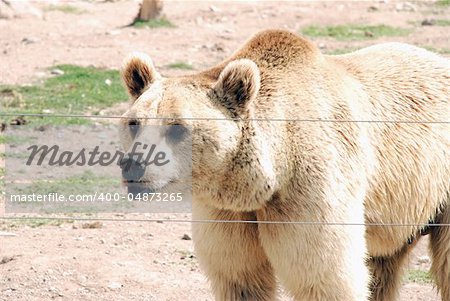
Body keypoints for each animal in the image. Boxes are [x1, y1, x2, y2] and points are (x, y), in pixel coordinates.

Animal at [118, 28, 450, 300]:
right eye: (134, 123)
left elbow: (324, 276)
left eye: (176, 128)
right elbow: (240, 276)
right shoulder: (228, 214)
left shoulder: (309, 189)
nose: (133, 164)